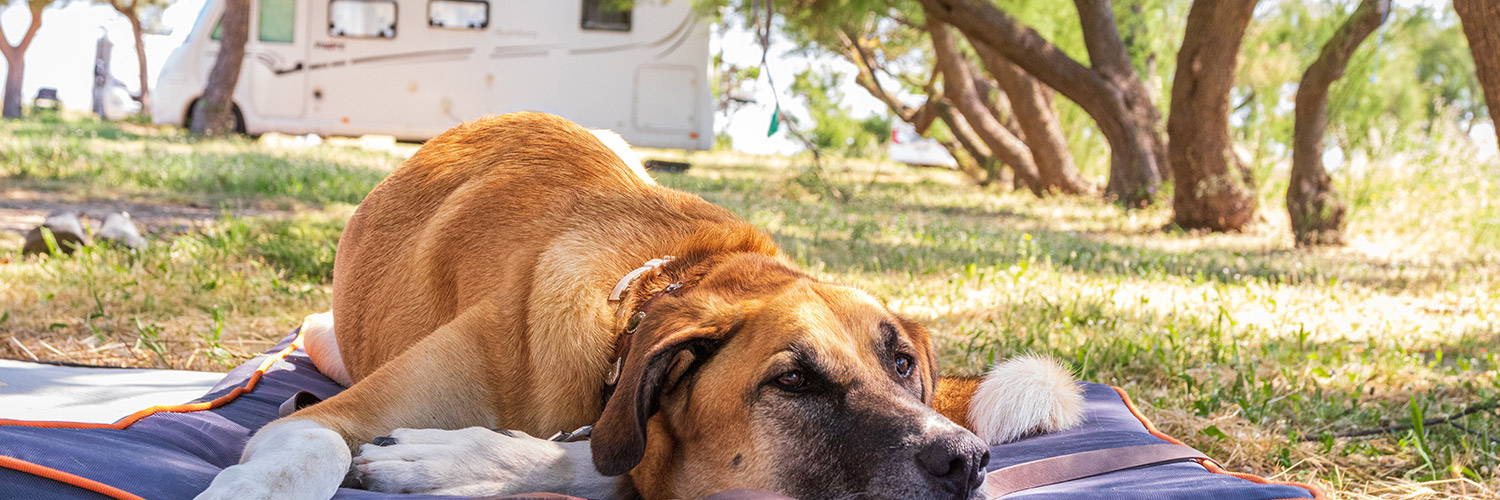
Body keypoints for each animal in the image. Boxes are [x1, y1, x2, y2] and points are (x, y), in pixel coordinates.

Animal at [193, 112, 1086, 498]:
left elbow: (597, 459)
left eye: (902, 364)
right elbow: (307, 451)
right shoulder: (324, 418)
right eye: (793, 382)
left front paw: (459, 459)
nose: (967, 460)